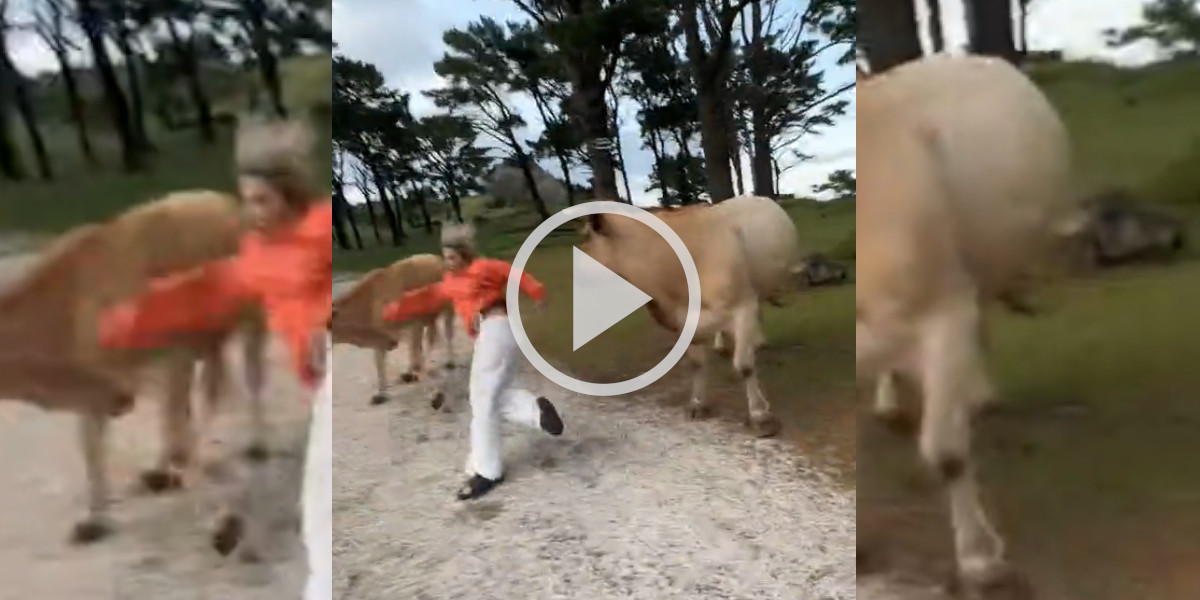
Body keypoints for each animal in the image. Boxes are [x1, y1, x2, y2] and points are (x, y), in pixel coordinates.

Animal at [0, 190, 267, 549]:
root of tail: (224, 200)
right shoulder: (96, 387)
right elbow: (92, 449)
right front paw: (95, 520)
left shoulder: (168, 359)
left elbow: (177, 432)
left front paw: (222, 526)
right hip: (208, 340)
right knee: (214, 387)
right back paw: (163, 470)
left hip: (252, 316)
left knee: (249, 377)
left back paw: (255, 443)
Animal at [331, 253, 456, 408]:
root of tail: (436, 258)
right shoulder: (381, 338)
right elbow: (380, 364)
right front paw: (381, 394)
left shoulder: (411, 327)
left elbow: (417, 359)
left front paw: (435, 397)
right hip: (428, 318)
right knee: (429, 340)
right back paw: (409, 373)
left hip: (447, 308)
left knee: (446, 334)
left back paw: (449, 361)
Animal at [576, 195, 801, 436]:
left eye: (587, 236)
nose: (575, 270)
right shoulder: (685, 316)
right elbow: (696, 363)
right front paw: (697, 403)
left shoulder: (742, 305)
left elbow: (744, 366)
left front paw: (760, 415)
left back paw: (757, 341)